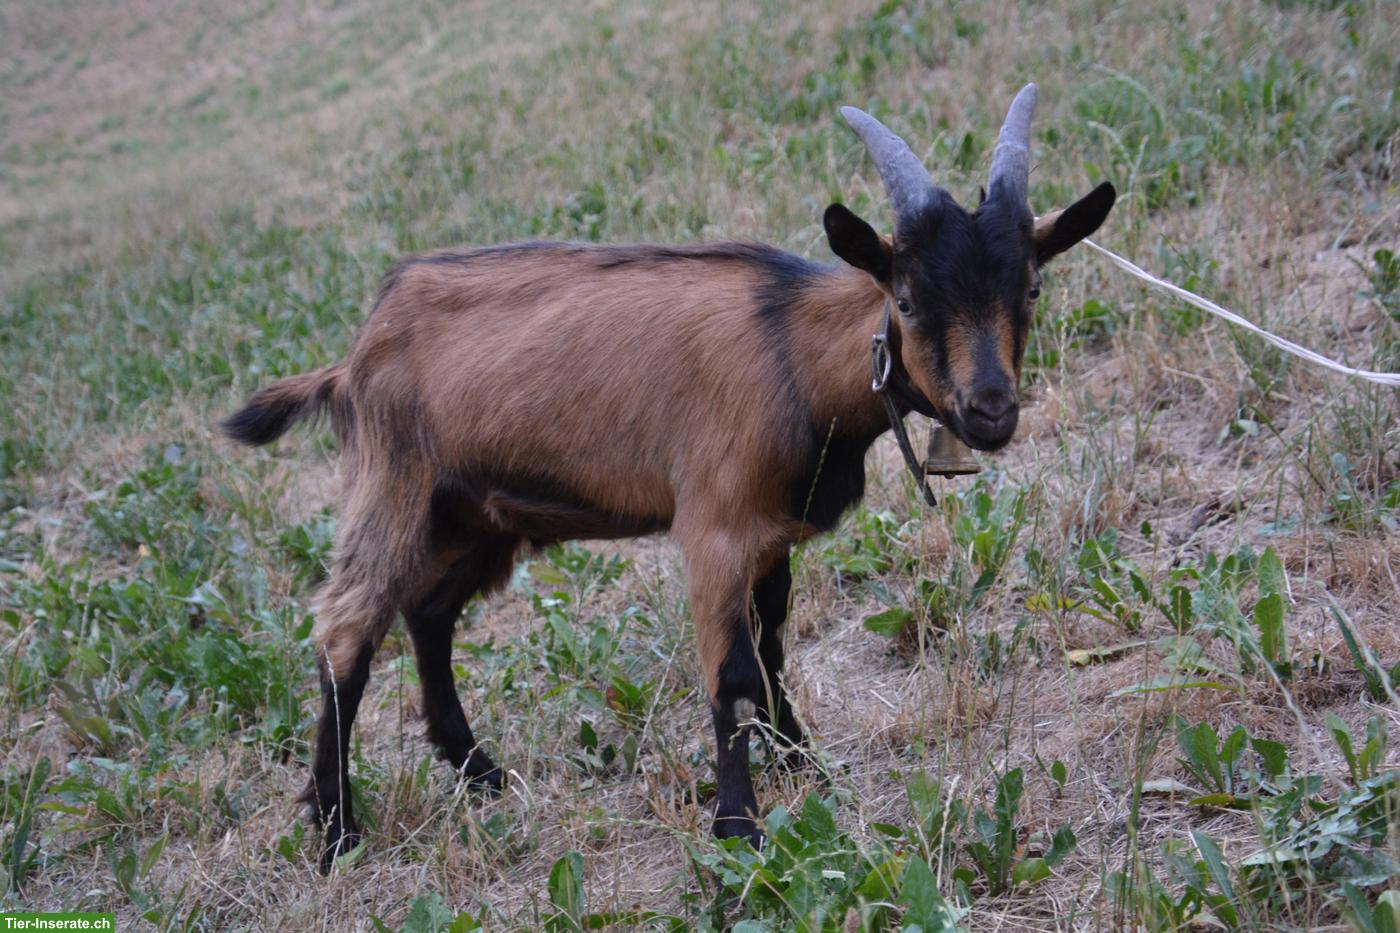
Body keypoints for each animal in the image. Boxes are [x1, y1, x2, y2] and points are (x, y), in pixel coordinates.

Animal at [223, 83, 1115, 869]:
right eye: (906, 297)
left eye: (1031, 288)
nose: (990, 410)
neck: (792, 352)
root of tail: (353, 355)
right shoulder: (714, 528)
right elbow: (732, 673)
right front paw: (740, 828)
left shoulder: (771, 534)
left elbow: (773, 644)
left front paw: (802, 763)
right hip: (394, 485)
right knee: (346, 629)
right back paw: (336, 829)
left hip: (480, 515)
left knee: (430, 613)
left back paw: (480, 771)